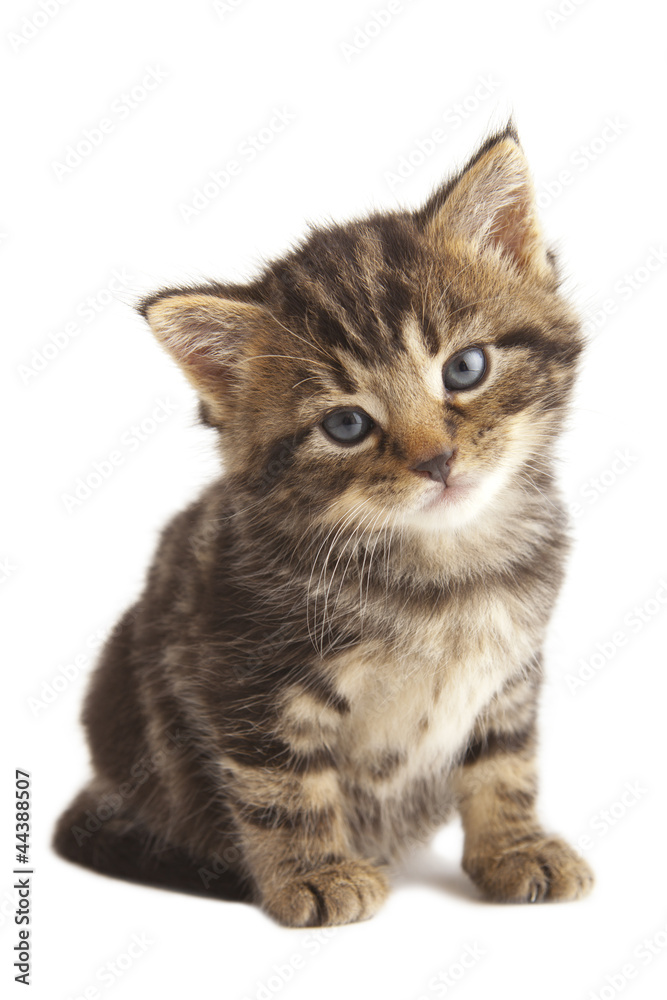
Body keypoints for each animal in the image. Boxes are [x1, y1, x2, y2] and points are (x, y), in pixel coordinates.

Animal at [53, 127, 596, 928]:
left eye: (465, 368)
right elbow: (280, 783)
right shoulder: (243, 669)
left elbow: (504, 761)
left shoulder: (512, 671)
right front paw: (314, 875)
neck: (445, 567)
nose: (436, 461)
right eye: (346, 426)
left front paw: (514, 847)